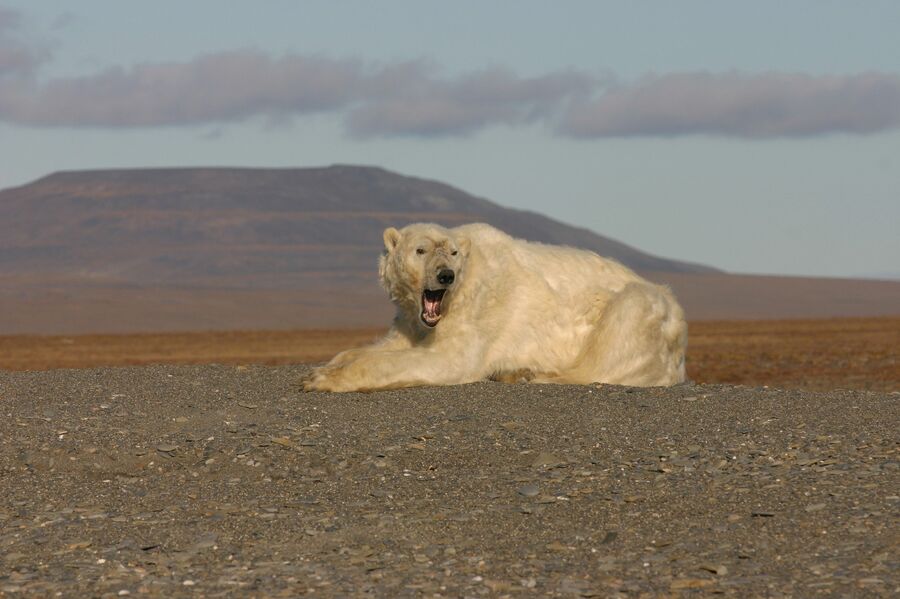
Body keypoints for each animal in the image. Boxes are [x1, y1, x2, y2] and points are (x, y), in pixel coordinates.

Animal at [302, 223, 688, 392]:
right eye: (420, 250)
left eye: (453, 252)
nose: (445, 275)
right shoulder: (413, 320)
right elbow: (380, 346)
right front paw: (324, 367)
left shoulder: (477, 312)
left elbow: (450, 360)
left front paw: (323, 380)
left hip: (638, 307)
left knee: (608, 348)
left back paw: (524, 373)